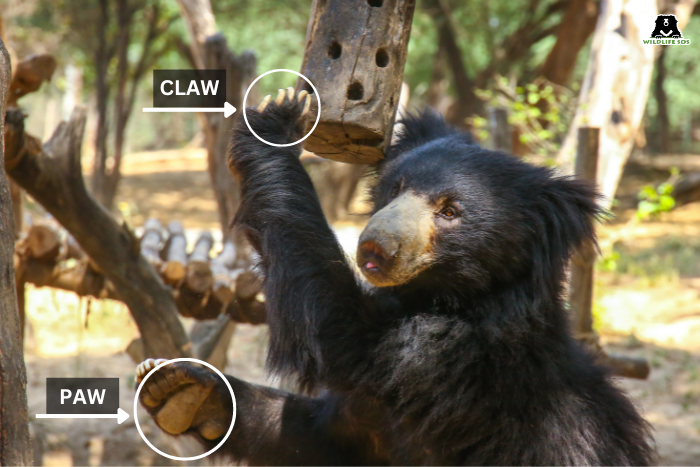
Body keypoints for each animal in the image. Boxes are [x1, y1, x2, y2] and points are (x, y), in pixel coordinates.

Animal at [138, 89, 656, 466]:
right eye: (396, 188)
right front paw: (185, 390)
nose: (373, 249)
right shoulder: (371, 425)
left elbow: (339, 334)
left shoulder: (449, 364)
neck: (448, 297)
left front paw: (274, 123)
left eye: (450, 211)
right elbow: (320, 437)